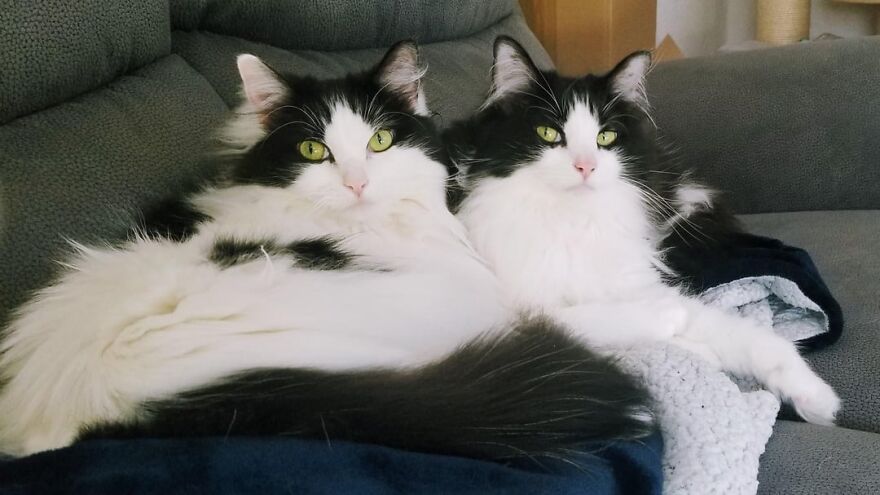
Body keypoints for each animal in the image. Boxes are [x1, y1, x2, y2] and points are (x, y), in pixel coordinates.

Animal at [450, 37, 844, 426]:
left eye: (605, 137)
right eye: (548, 133)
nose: (586, 166)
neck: (572, 218)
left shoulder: (636, 281)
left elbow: (749, 337)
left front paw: (817, 398)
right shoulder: (515, 312)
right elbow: (593, 322)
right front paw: (678, 330)